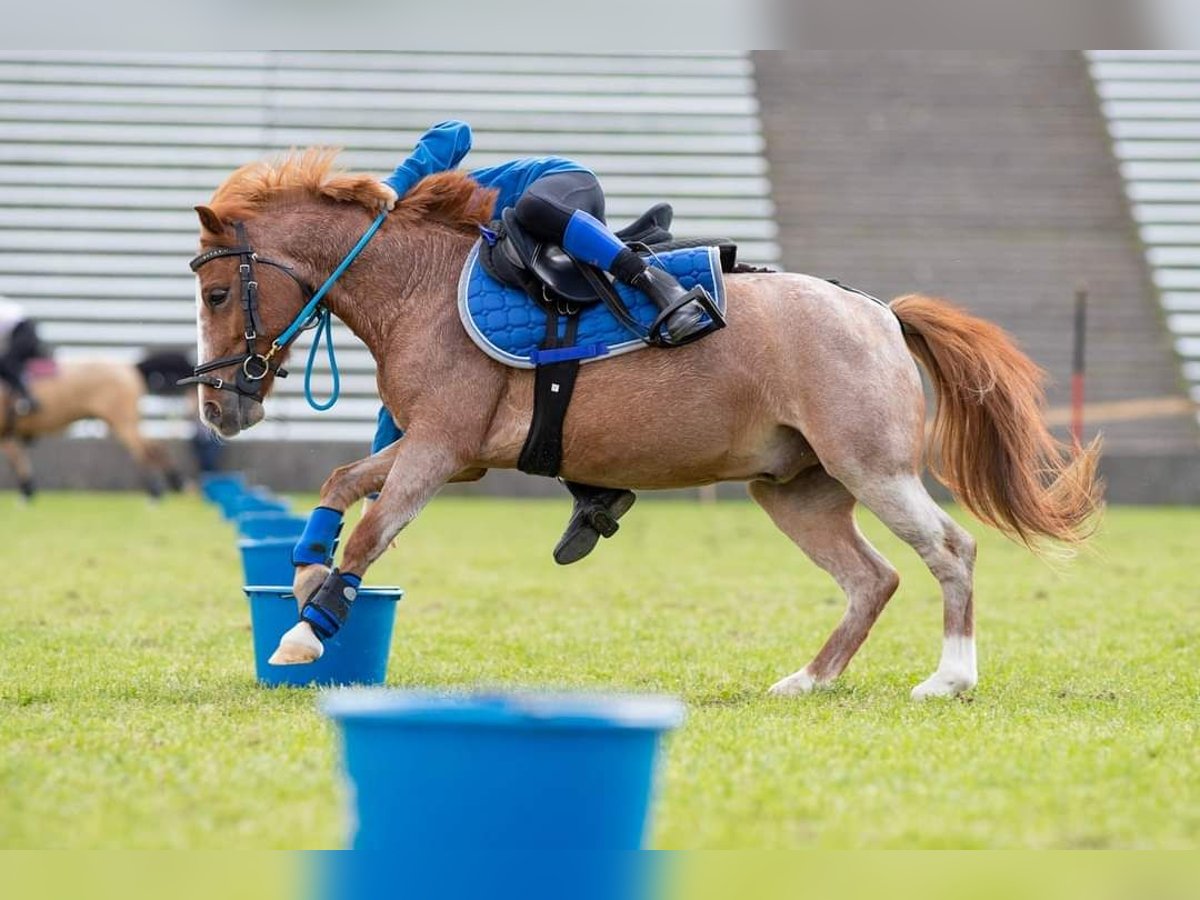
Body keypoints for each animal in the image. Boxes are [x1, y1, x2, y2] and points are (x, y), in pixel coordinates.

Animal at [0, 357, 184, 501]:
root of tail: (129, 367)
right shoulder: (6, 434)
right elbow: (16, 457)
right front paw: (27, 491)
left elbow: (15, 457)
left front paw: (26, 492)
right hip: (123, 422)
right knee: (153, 448)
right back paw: (173, 483)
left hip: (123, 421)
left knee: (147, 450)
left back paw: (158, 491)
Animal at [192, 151, 1099, 700]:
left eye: (214, 292)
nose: (218, 406)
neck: (419, 286)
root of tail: (875, 310)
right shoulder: (445, 452)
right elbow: (341, 483)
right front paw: (306, 575)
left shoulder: (439, 452)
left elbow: (372, 532)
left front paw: (306, 634)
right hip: (798, 492)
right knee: (871, 579)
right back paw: (807, 680)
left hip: (875, 469)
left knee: (952, 550)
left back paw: (950, 678)